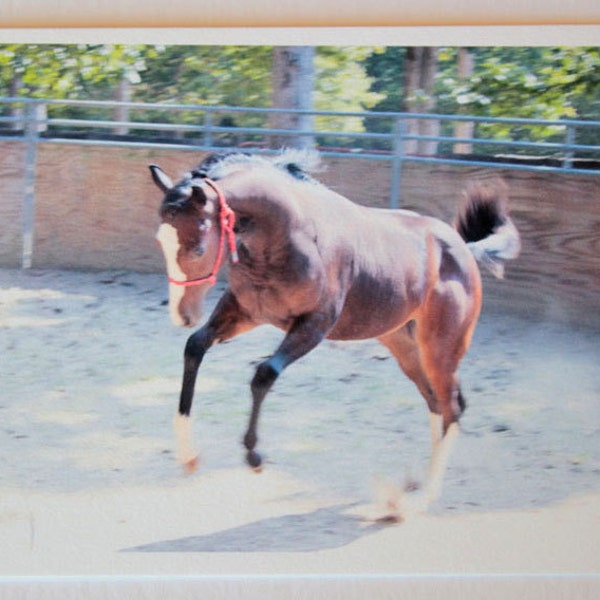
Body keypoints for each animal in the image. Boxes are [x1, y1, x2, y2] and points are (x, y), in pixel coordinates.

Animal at [150, 151, 520, 520]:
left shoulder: (315, 323)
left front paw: (254, 457)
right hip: (404, 345)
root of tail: (464, 248)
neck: (287, 236)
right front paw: (188, 456)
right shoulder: (247, 312)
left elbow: (264, 374)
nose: (182, 315)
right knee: (435, 402)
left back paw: (419, 500)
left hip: (440, 347)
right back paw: (408, 489)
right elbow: (194, 347)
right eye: (160, 242)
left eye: (197, 250)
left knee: (452, 406)